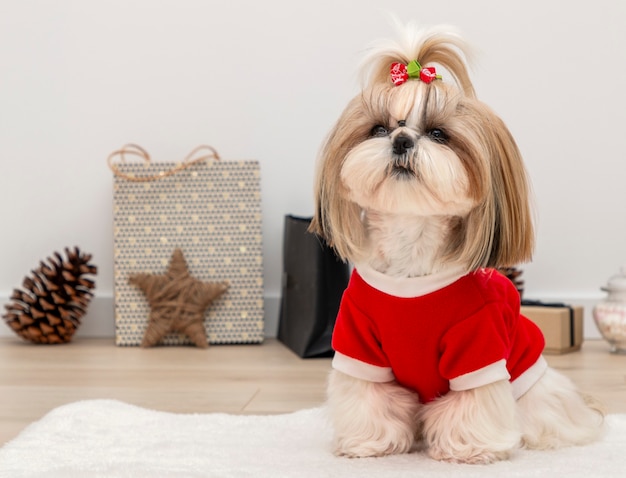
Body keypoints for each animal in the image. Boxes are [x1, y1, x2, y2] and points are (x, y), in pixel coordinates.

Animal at [310, 23, 604, 464]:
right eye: (379, 129)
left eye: (438, 134)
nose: (401, 140)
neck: (411, 263)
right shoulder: (358, 341)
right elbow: (368, 397)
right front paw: (369, 443)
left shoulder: (477, 345)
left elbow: (473, 402)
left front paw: (469, 448)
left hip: (531, 383)